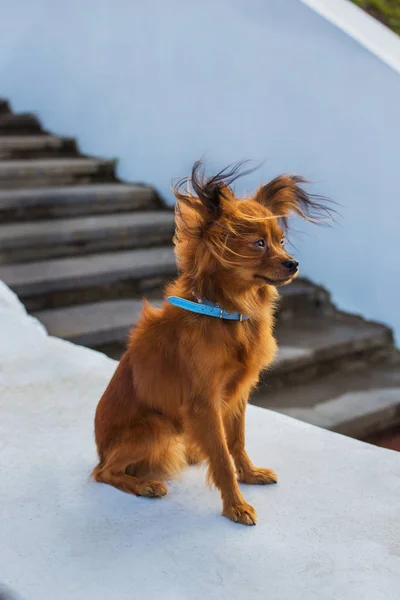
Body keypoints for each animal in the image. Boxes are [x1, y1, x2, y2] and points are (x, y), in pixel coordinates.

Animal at [92, 162, 330, 524]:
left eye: (281, 240)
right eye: (258, 243)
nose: (293, 263)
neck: (226, 314)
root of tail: (100, 448)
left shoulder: (237, 395)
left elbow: (237, 443)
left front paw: (250, 475)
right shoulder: (205, 404)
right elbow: (220, 456)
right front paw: (236, 506)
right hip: (158, 427)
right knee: (103, 472)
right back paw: (145, 484)